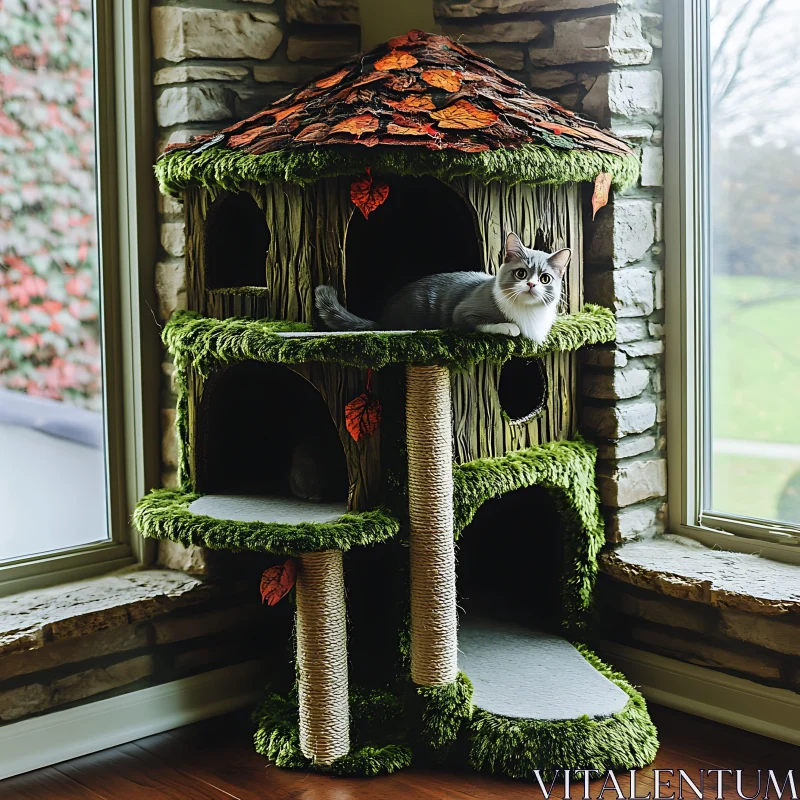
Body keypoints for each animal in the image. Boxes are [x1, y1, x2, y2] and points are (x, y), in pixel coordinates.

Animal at [312, 231, 568, 344]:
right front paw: (509, 327)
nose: (531, 284)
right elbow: (480, 323)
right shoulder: (463, 311)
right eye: (521, 273)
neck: (527, 312)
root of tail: (383, 319)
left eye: (545, 279)